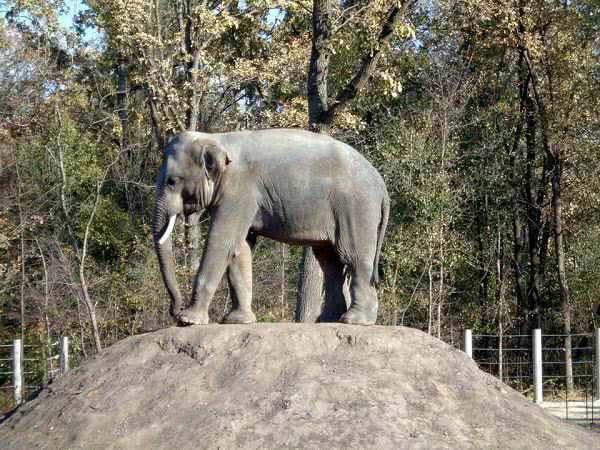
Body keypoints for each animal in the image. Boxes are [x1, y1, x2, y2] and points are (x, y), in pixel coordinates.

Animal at [155, 128, 390, 326]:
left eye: (171, 181)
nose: (176, 311)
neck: (217, 139)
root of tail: (381, 184)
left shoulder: (239, 191)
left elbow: (222, 242)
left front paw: (189, 321)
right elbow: (240, 248)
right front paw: (237, 321)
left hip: (356, 208)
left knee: (354, 256)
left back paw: (355, 320)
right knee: (330, 262)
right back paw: (327, 320)